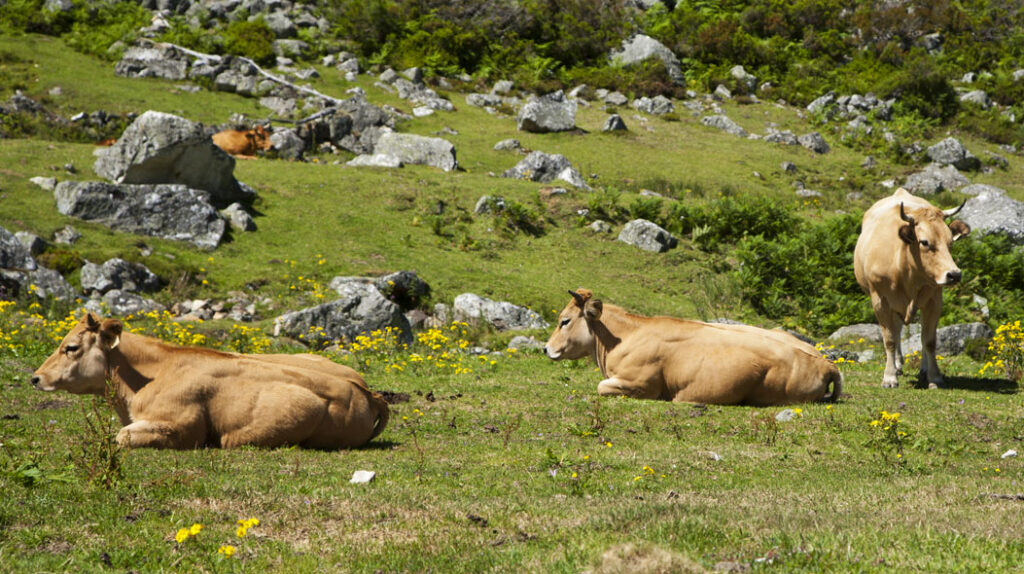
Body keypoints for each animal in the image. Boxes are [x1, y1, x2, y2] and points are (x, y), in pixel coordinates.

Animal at [544, 289, 842, 405]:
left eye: (564, 321)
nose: (546, 349)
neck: (622, 338)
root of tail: (825, 363)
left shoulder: (641, 385)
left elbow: (601, 387)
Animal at [854, 187, 970, 388]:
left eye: (950, 242)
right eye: (924, 242)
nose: (954, 274)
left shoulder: (934, 300)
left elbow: (929, 341)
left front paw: (934, 376)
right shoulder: (880, 300)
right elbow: (890, 339)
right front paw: (889, 377)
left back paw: (922, 370)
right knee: (896, 329)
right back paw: (897, 365)